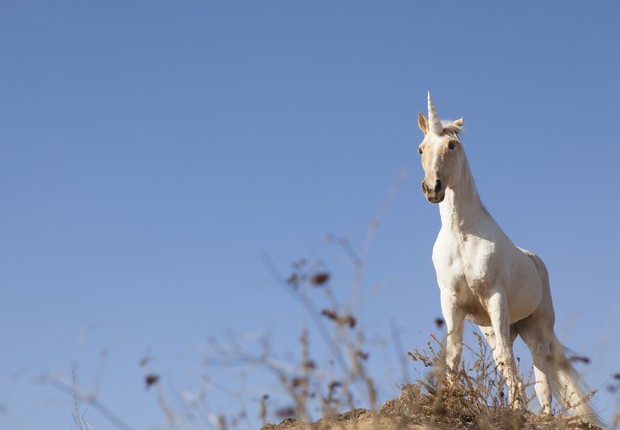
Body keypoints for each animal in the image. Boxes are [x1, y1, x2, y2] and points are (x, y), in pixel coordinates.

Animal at [416, 91, 600, 426]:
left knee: (540, 370)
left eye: (452, 146)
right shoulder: (451, 303)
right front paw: (450, 400)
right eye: (421, 148)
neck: (463, 235)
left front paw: (515, 409)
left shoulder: (495, 298)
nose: (432, 188)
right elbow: (454, 354)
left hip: (535, 327)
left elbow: (506, 359)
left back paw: (542, 413)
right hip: (495, 328)